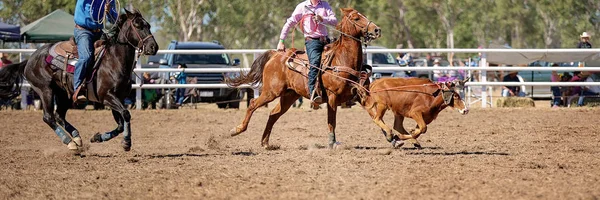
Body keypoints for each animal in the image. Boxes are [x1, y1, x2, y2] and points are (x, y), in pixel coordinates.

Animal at [0, 8, 158, 151]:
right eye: (137, 25)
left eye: (149, 25)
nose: (153, 47)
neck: (114, 61)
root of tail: (29, 60)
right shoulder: (107, 97)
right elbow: (126, 114)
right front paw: (127, 142)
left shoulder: (118, 98)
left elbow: (120, 124)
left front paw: (97, 137)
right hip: (45, 90)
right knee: (49, 117)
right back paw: (70, 142)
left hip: (64, 94)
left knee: (59, 116)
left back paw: (77, 138)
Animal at [227, 7, 382, 148]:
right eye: (356, 18)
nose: (377, 30)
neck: (342, 59)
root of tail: (276, 54)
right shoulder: (332, 97)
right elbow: (332, 121)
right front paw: (332, 143)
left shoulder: (360, 95)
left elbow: (376, 115)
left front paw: (389, 137)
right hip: (271, 92)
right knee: (253, 104)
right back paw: (237, 130)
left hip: (289, 95)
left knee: (273, 114)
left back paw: (265, 143)